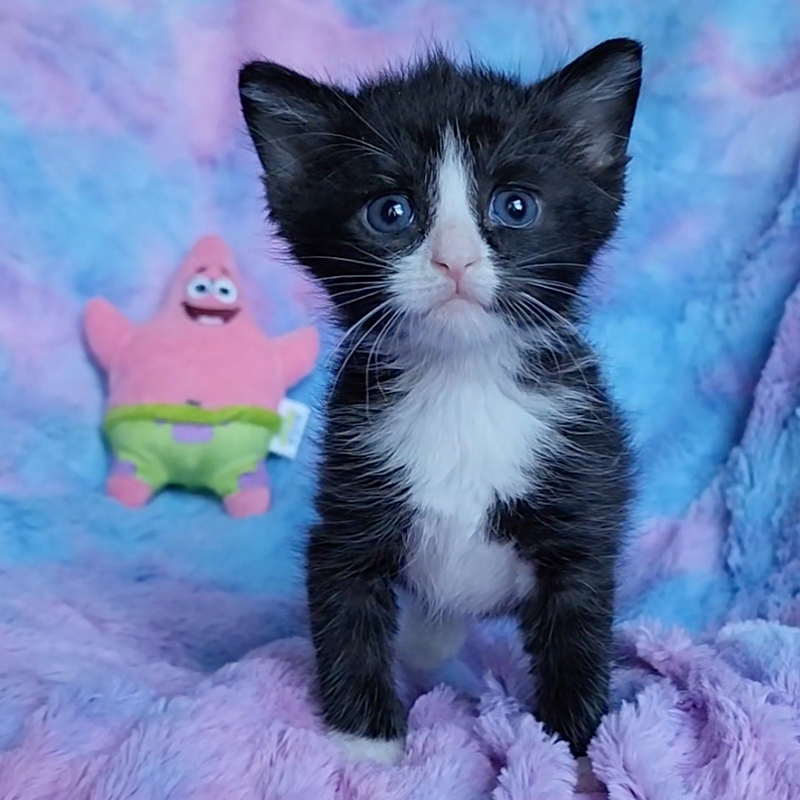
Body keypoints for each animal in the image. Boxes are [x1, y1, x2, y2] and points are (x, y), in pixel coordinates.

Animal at [239, 37, 644, 764]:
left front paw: (577, 754)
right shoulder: (349, 505)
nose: (454, 260)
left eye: (516, 206)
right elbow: (347, 618)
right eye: (390, 212)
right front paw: (365, 746)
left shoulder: (582, 500)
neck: (462, 385)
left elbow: (578, 633)